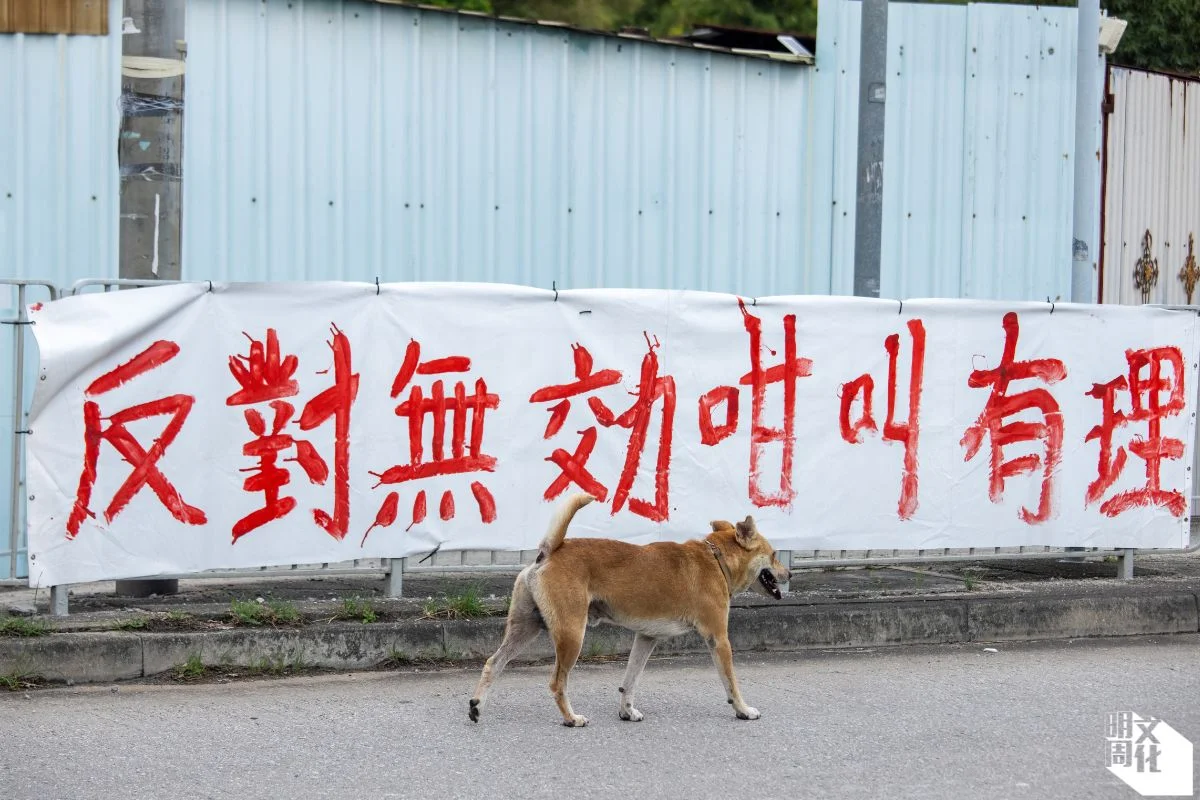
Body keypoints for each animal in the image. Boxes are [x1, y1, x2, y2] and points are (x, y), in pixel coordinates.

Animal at [470, 491, 796, 729]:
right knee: (556, 682)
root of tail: (550, 550)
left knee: (493, 664)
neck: (716, 559)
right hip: (572, 634)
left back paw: (476, 706)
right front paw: (743, 709)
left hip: (525, 628)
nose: (790, 574)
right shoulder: (718, 639)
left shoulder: (646, 638)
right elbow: (731, 683)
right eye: (774, 555)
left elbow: (630, 681)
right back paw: (571, 718)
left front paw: (626, 711)